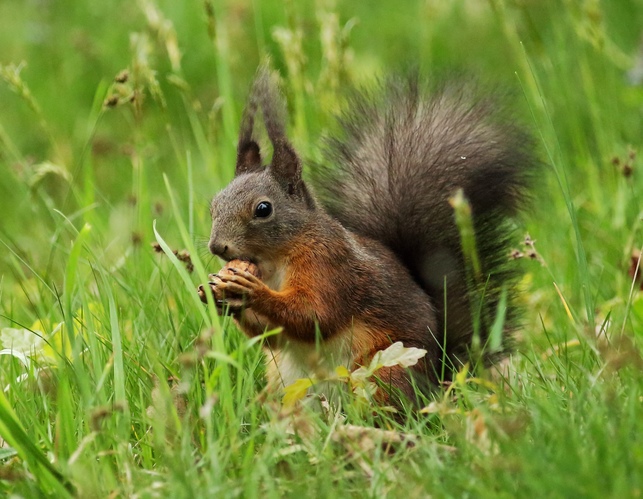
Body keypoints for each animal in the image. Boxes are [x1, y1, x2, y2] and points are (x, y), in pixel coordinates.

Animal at [203, 68, 540, 408]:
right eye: (214, 204)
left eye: (263, 209)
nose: (217, 246)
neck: (273, 260)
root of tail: (438, 378)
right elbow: (270, 335)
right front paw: (216, 295)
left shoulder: (329, 265)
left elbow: (314, 315)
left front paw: (251, 290)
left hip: (385, 372)